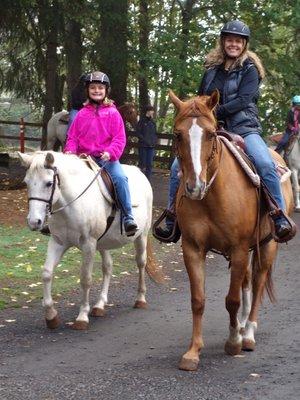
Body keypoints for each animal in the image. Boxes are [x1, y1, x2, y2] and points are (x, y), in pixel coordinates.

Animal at [18, 152, 162, 330]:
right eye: (26, 183)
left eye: (49, 183)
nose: (34, 222)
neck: (71, 204)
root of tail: (140, 173)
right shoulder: (58, 242)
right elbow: (46, 273)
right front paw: (51, 315)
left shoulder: (88, 244)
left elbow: (85, 279)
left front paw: (82, 317)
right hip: (103, 243)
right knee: (108, 267)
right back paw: (100, 305)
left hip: (140, 237)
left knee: (141, 263)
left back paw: (140, 299)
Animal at [170, 90, 294, 372]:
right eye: (178, 134)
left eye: (210, 134)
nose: (194, 187)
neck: (211, 195)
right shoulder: (193, 248)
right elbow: (198, 300)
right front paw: (193, 352)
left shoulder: (238, 248)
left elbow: (232, 300)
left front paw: (234, 341)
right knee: (247, 282)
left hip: (267, 246)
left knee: (257, 283)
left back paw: (247, 333)